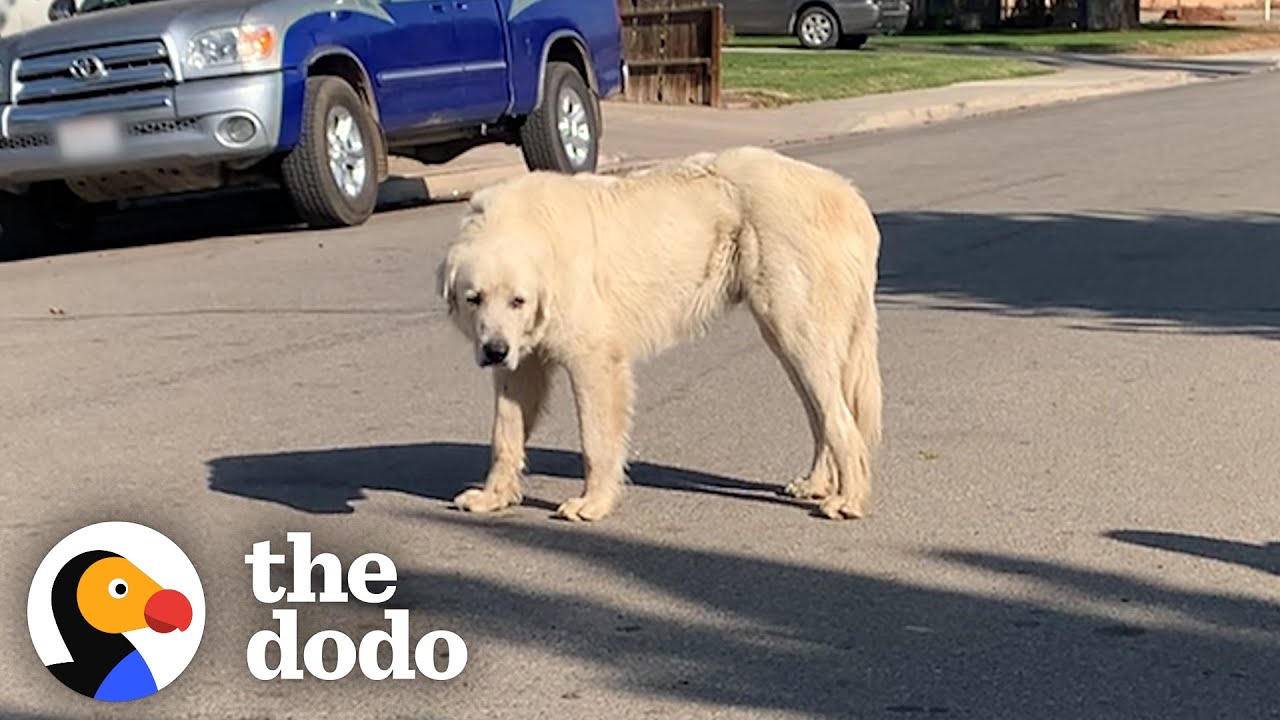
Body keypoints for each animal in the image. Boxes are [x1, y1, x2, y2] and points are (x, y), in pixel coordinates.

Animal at [437, 144, 880, 520]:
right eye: (474, 298)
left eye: (518, 301)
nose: (494, 350)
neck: (533, 230)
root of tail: (849, 195)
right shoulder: (521, 364)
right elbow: (504, 434)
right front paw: (492, 497)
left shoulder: (595, 362)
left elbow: (596, 439)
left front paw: (592, 504)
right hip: (786, 338)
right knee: (821, 414)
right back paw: (817, 484)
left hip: (796, 328)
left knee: (840, 419)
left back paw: (850, 500)